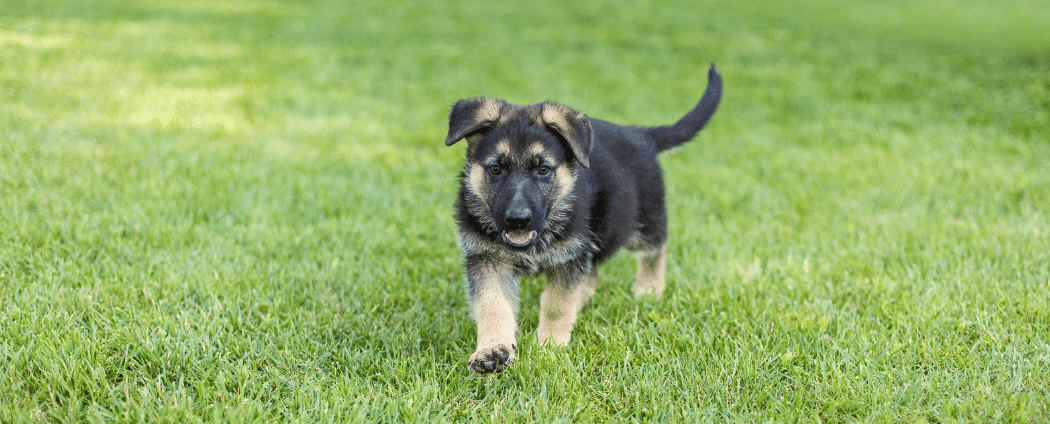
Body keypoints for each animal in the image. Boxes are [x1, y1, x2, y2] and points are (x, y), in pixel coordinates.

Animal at [443, 63, 722, 373]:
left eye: (543, 170)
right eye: (495, 169)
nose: (518, 219)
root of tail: (641, 136)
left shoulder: (570, 256)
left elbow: (556, 303)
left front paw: (550, 346)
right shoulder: (488, 258)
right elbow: (493, 305)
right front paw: (492, 349)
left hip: (636, 222)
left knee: (655, 247)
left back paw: (648, 287)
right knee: (594, 273)